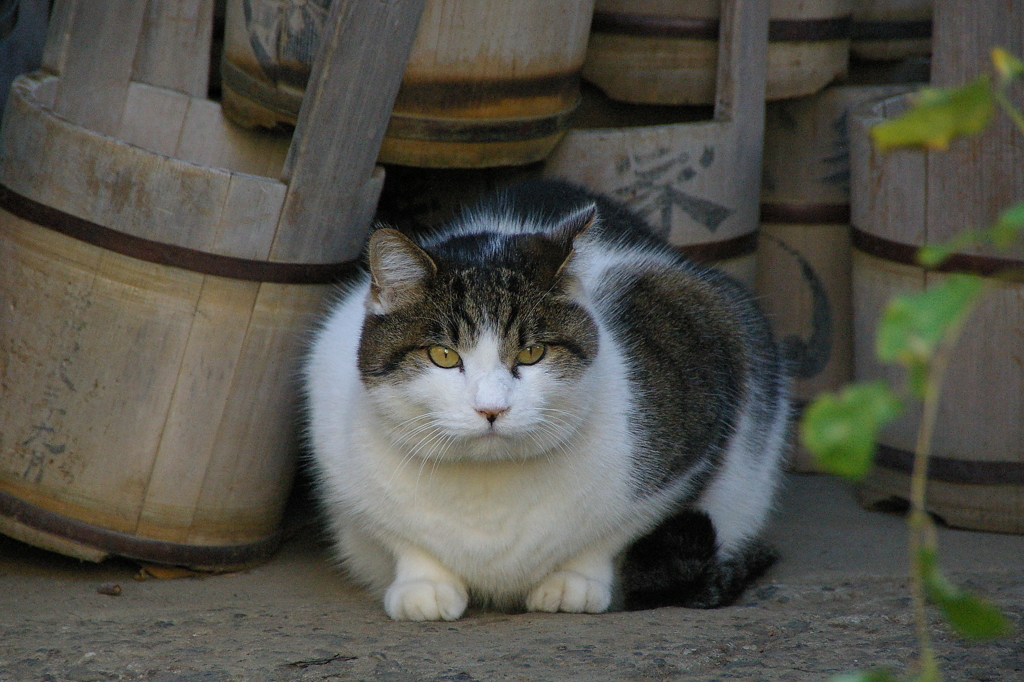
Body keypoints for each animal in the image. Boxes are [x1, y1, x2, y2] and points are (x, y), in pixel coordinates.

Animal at [303, 178, 790, 618]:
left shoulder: (698, 416)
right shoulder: (335, 437)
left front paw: (574, 581)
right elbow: (399, 536)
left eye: (532, 353)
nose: (492, 408)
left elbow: (616, 532)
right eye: (443, 356)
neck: (488, 494)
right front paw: (424, 584)